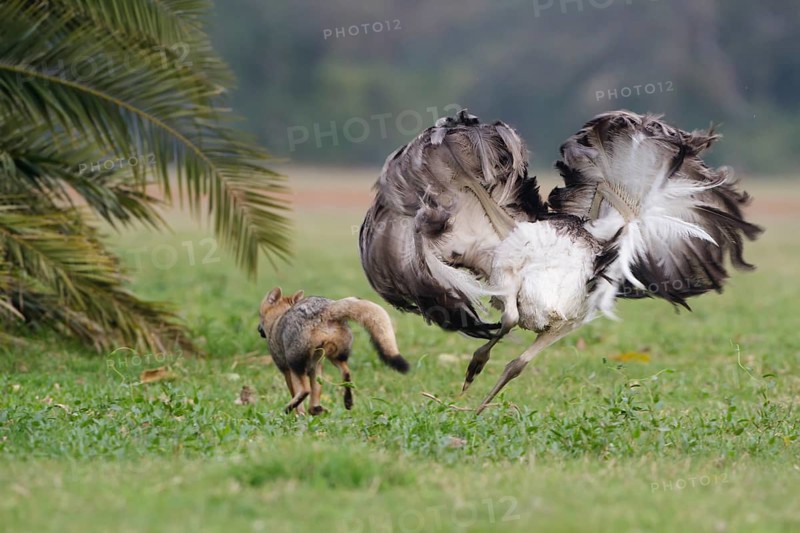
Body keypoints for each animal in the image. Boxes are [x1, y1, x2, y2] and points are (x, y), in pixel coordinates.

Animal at [257, 287, 410, 415]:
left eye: (259, 315)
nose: (259, 329)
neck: (277, 320)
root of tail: (327, 309)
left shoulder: (287, 370)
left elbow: (297, 396)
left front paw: (298, 414)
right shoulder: (314, 367)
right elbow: (314, 395)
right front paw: (312, 410)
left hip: (296, 363)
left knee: (305, 390)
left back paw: (289, 408)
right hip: (333, 358)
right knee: (346, 374)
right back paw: (343, 402)